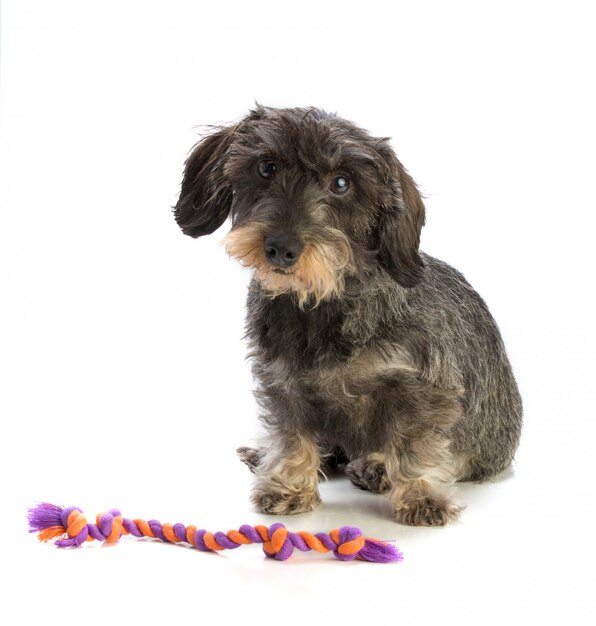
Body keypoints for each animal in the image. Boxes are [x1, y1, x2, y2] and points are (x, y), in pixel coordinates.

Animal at [172, 105, 520, 524]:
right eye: (266, 167)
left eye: (341, 182)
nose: (281, 248)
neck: (322, 301)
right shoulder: (283, 382)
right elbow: (291, 435)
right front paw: (288, 484)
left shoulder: (422, 389)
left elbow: (415, 442)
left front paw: (421, 496)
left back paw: (377, 466)